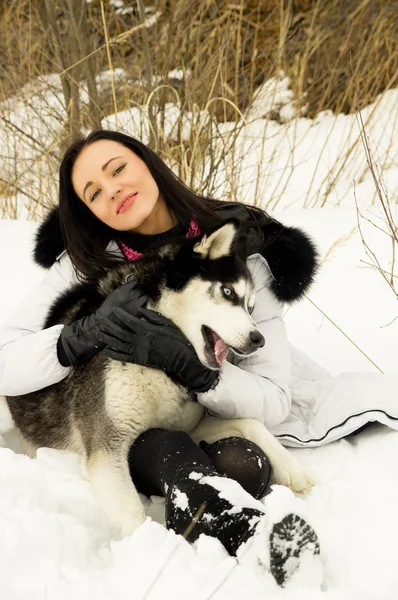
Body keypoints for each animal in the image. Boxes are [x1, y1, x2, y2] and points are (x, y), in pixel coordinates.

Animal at [3, 219, 314, 536]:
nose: (258, 339)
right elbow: (134, 518)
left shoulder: (188, 425)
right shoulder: (106, 449)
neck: (157, 365)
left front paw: (292, 468)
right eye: (228, 292)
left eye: (251, 307)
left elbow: (251, 423)